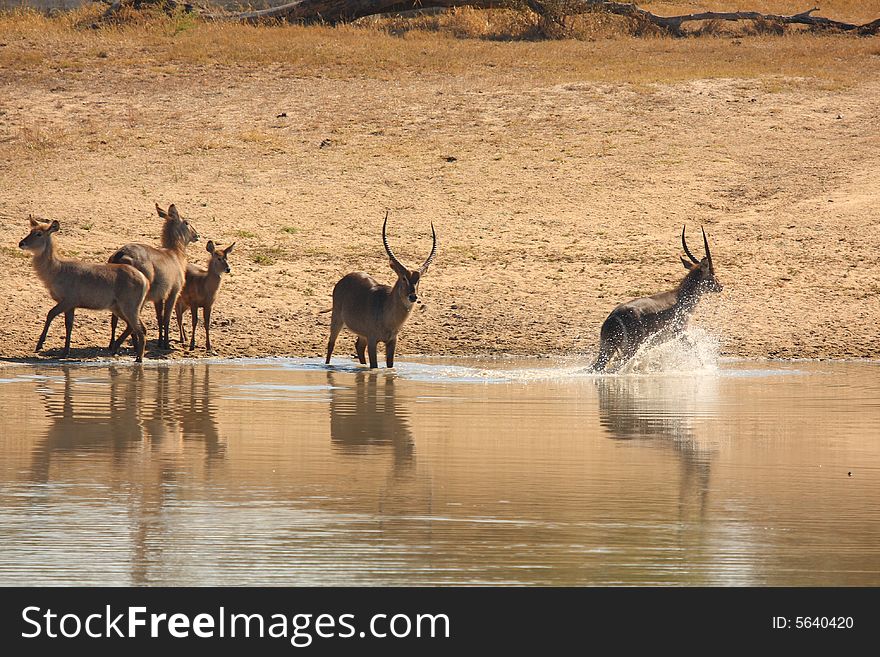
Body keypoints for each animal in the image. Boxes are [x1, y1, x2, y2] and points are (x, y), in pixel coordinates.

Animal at [18, 217, 148, 362]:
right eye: (30, 231)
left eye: (39, 234)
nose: (21, 243)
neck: (57, 270)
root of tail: (144, 279)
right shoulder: (71, 305)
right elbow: (69, 325)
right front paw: (64, 352)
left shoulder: (68, 300)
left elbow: (50, 314)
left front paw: (39, 345)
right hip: (118, 307)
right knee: (134, 326)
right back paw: (117, 349)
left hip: (129, 307)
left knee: (141, 329)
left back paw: (138, 358)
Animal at [108, 202, 199, 352]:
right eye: (186, 222)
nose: (197, 235)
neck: (175, 254)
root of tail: (121, 254)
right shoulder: (173, 293)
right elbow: (167, 318)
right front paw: (166, 344)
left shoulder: (158, 297)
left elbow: (159, 318)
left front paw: (160, 342)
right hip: (140, 297)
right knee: (131, 321)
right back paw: (125, 345)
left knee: (114, 319)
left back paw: (114, 344)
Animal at [324, 214, 438, 368]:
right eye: (403, 278)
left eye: (418, 279)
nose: (413, 296)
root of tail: (345, 278)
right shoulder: (373, 340)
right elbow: (374, 366)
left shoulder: (392, 341)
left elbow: (390, 366)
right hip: (337, 320)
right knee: (331, 345)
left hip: (362, 334)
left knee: (358, 347)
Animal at [592, 224, 720, 372]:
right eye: (712, 273)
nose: (720, 286)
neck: (680, 297)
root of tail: (613, 316)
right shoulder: (680, 332)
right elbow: (694, 348)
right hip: (630, 348)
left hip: (608, 348)